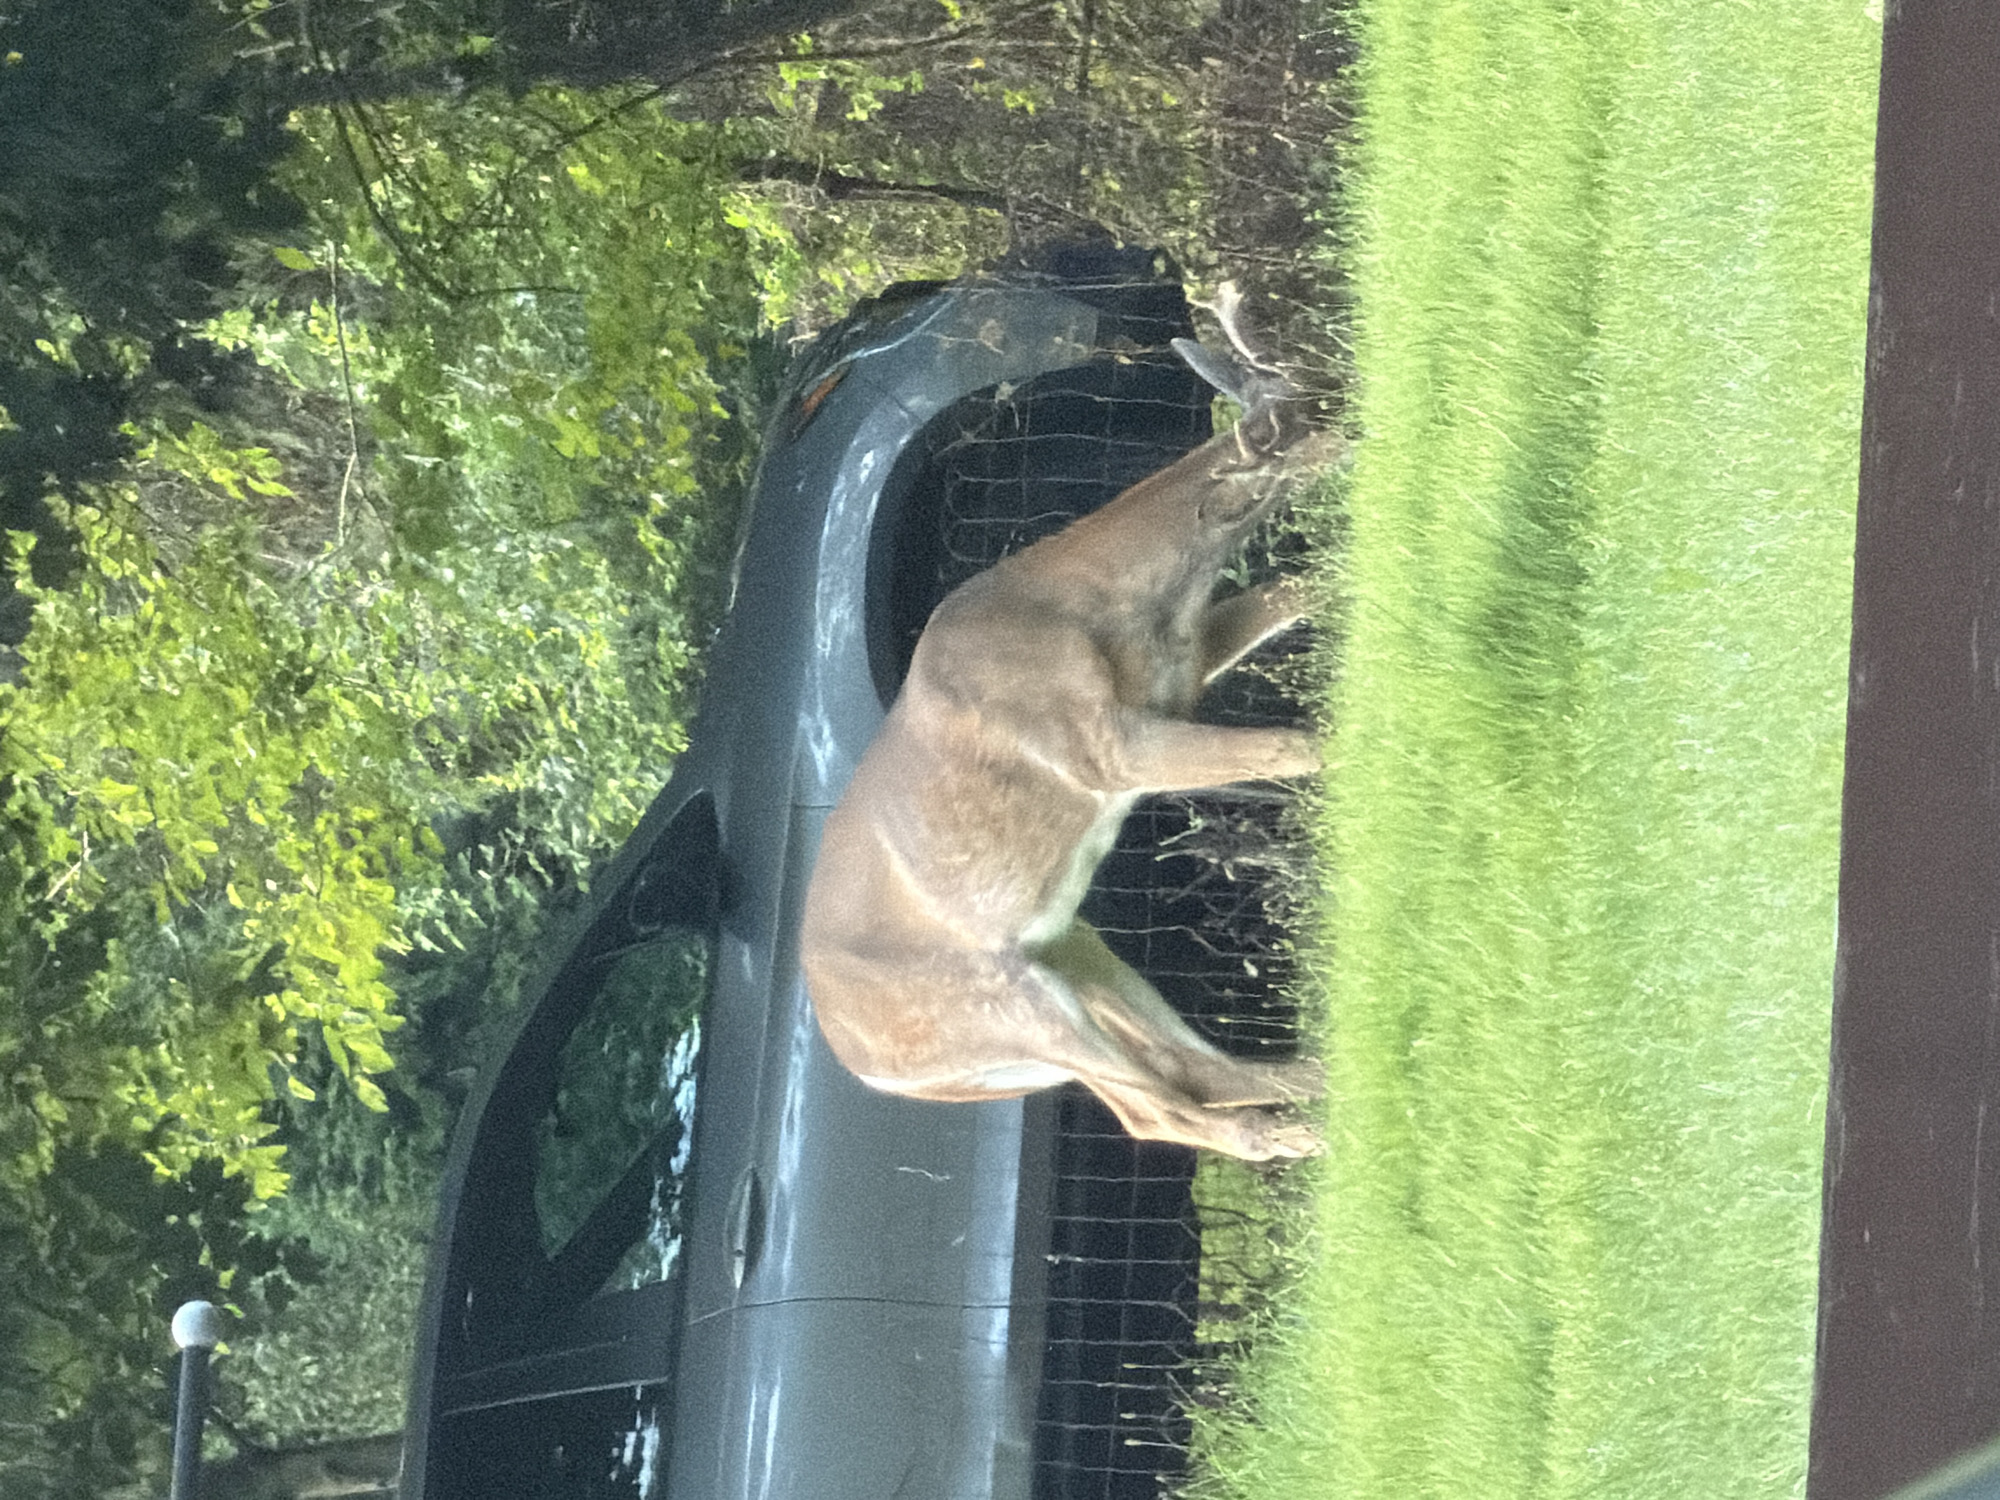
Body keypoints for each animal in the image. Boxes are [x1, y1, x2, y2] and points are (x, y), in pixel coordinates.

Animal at [800, 284, 1345, 1162]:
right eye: (1319, 420)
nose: (1368, 419)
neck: (1084, 603)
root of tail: (867, 1064)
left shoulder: (1180, 675)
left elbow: (1298, 590)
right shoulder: (1101, 746)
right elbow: (1292, 745)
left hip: (1071, 949)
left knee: (1195, 1072)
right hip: (1003, 1006)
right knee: (1157, 1110)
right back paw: (1299, 1139)